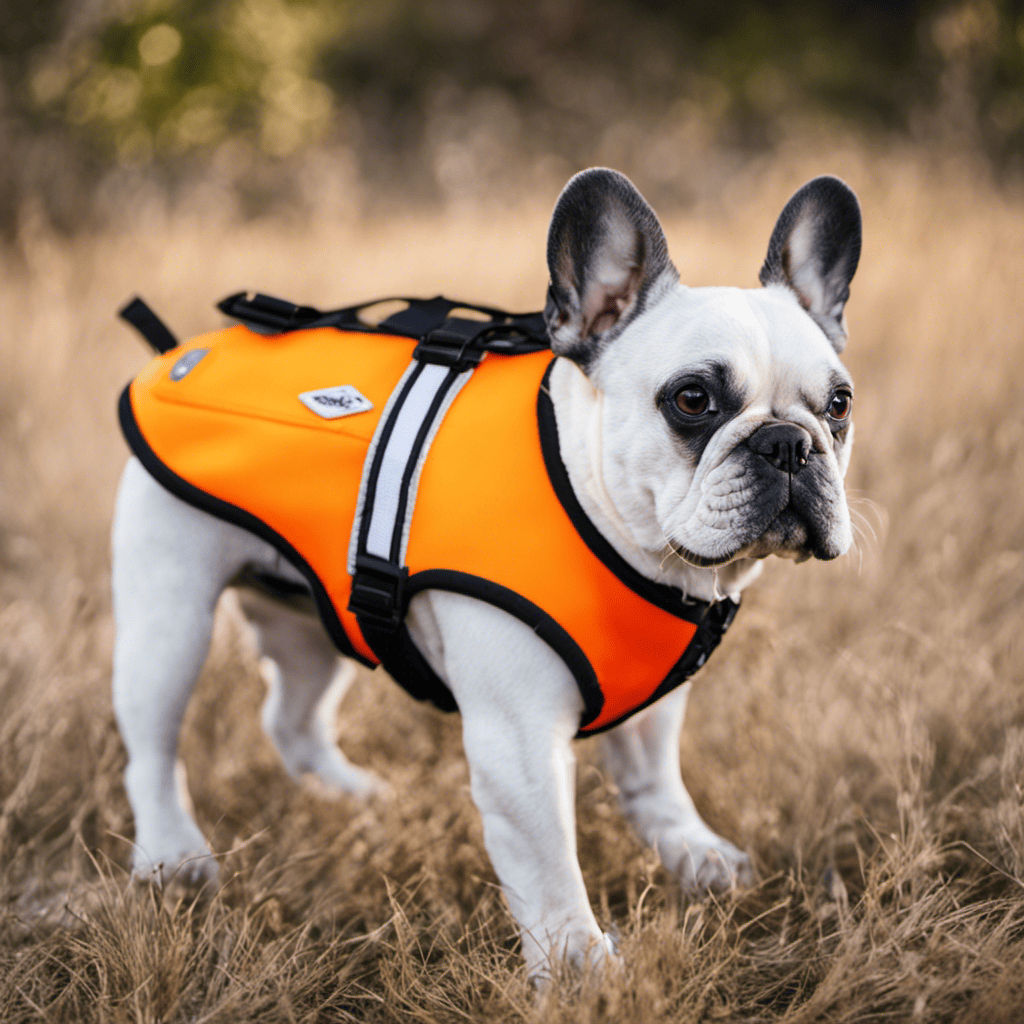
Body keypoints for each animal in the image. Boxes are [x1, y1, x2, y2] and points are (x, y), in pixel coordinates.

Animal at [112, 167, 860, 974]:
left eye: (839, 405)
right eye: (693, 399)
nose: (789, 443)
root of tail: (181, 352)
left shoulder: (655, 701)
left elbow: (656, 780)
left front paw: (695, 854)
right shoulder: (520, 742)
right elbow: (552, 865)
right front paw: (582, 970)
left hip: (315, 616)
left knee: (292, 716)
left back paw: (351, 797)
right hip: (170, 618)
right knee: (152, 746)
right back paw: (173, 856)